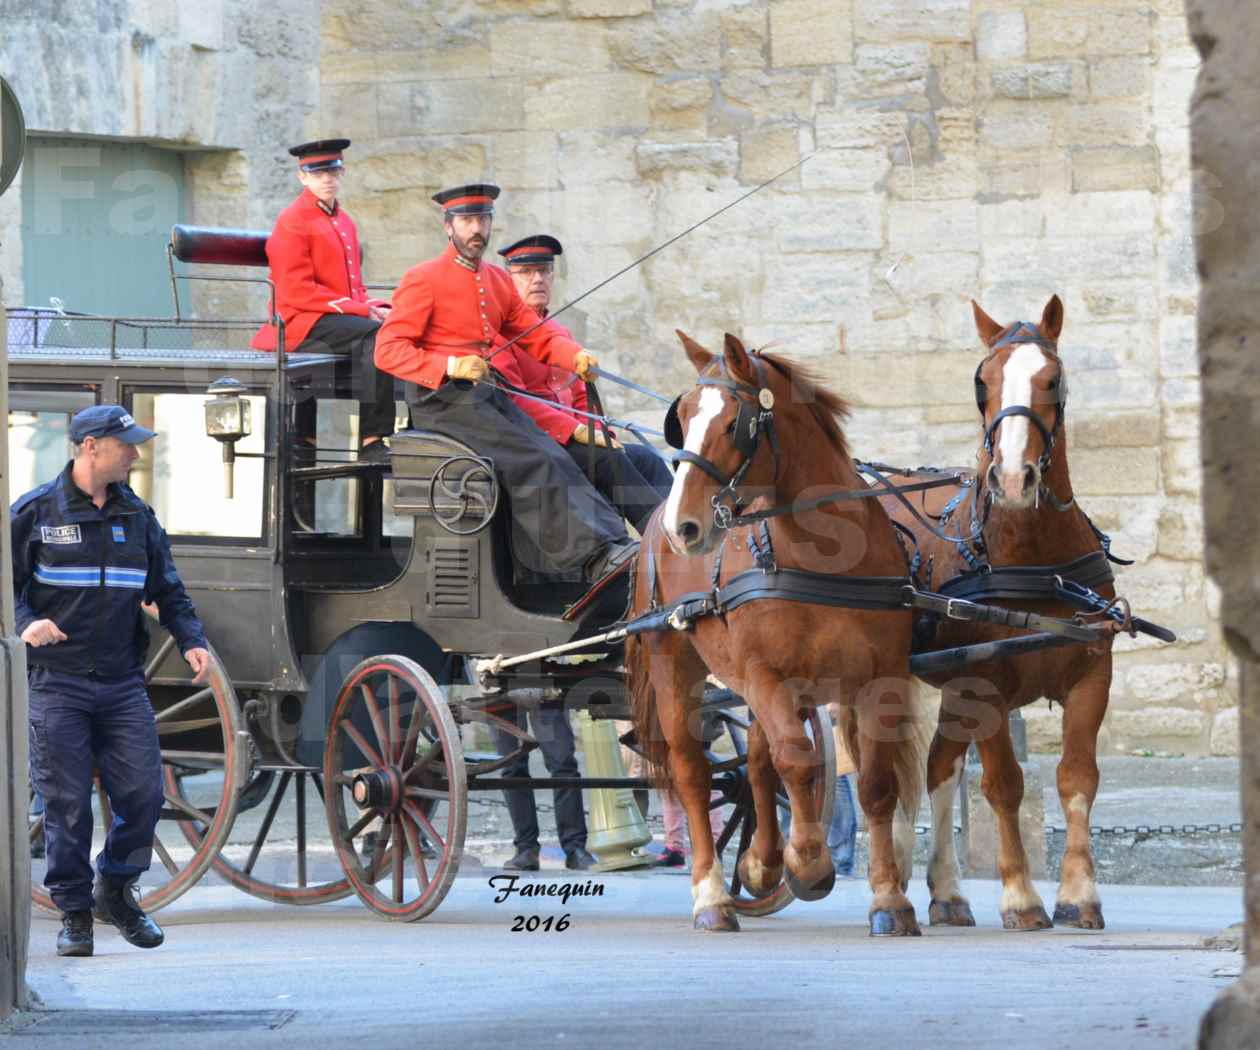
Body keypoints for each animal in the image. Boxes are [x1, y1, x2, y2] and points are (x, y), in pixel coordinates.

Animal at [627, 330, 932, 932]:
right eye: (683, 417)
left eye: (733, 424)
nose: (683, 527)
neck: (824, 552)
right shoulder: (766, 674)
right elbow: (798, 759)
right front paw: (808, 863)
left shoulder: (879, 680)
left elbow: (873, 785)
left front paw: (888, 898)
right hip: (679, 662)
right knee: (695, 771)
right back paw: (712, 894)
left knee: (756, 763)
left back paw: (760, 861)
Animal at [887, 292, 1123, 927]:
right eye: (981, 380)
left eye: (1053, 379)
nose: (1014, 478)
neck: (1034, 556)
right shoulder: (984, 683)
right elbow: (1003, 784)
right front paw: (1020, 895)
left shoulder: (1092, 674)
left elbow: (1077, 779)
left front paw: (1079, 893)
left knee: (937, 768)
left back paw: (945, 890)